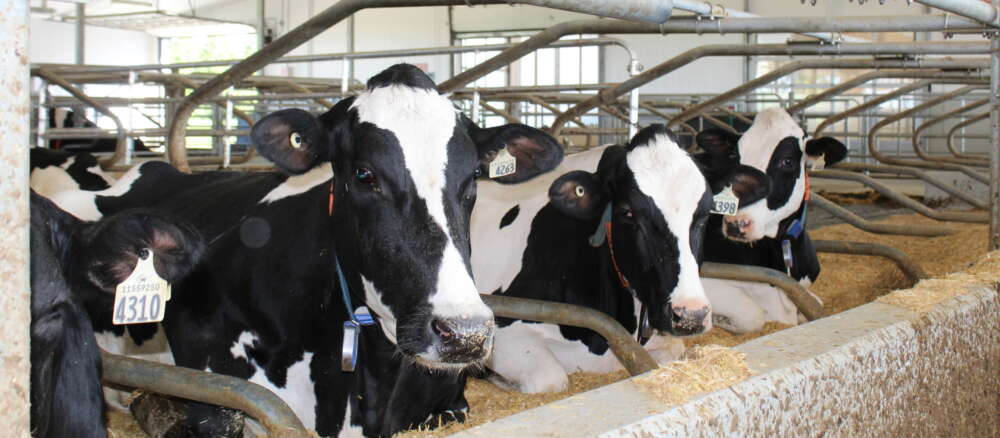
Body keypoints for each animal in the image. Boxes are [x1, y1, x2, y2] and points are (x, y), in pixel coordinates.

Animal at [469, 124, 714, 393]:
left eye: (705, 214)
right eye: (627, 212)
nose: (692, 316)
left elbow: (674, 351)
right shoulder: (504, 324)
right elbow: (550, 379)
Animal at [694, 107, 847, 333]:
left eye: (787, 161)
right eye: (735, 158)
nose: (735, 223)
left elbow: (815, 302)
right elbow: (751, 315)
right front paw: (718, 320)